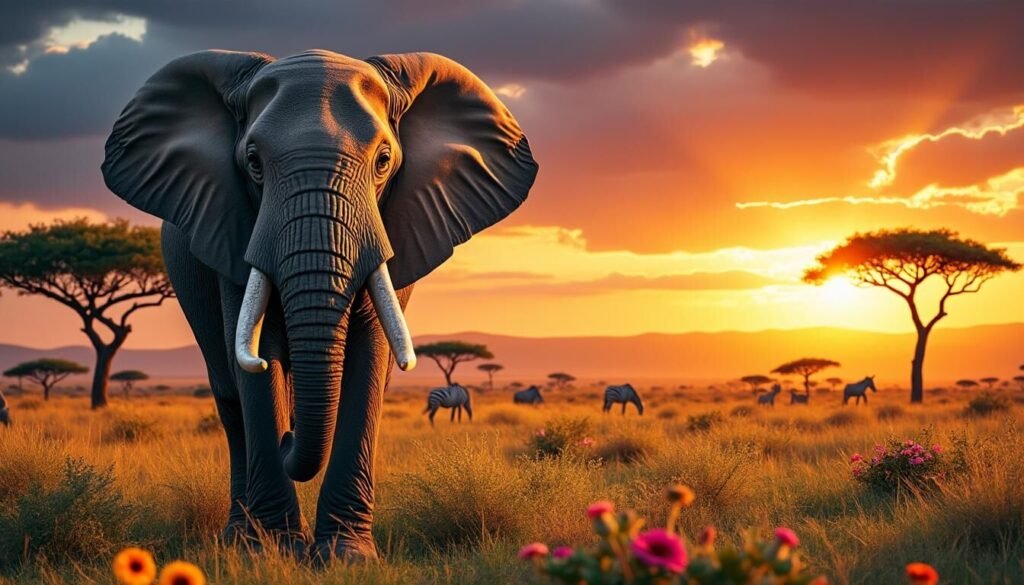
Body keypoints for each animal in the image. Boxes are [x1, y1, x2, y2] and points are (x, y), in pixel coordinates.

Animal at [101, 49, 537, 563]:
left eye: (383, 161)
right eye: (253, 163)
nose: (289, 439)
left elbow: (371, 355)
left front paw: (346, 555)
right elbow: (257, 360)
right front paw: (271, 551)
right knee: (229, 396)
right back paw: (237, 535)